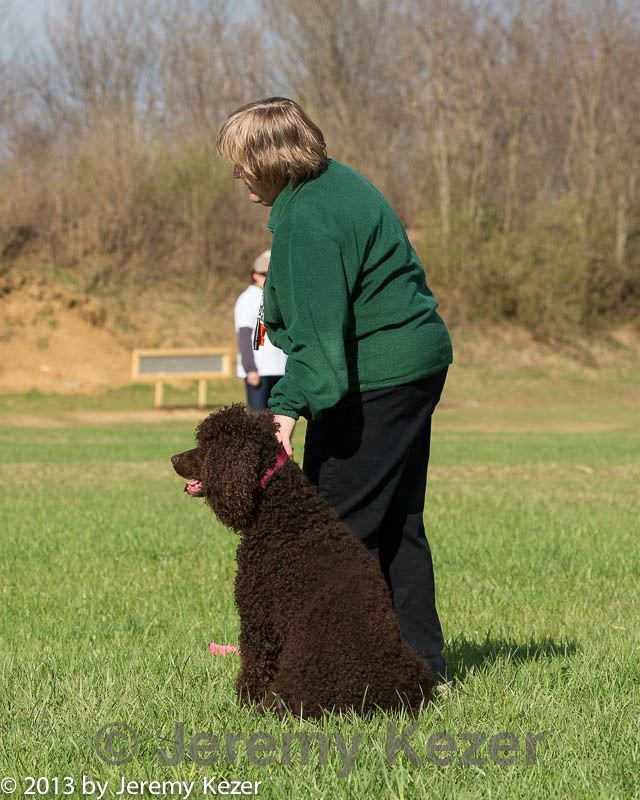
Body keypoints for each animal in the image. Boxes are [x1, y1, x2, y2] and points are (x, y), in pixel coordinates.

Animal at [170, 406, 432, 720]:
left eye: (208, 444)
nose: (173, 458)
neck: (284, 510)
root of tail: (379, 700)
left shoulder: (258, 612)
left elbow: (255, 660)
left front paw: (245, 699)